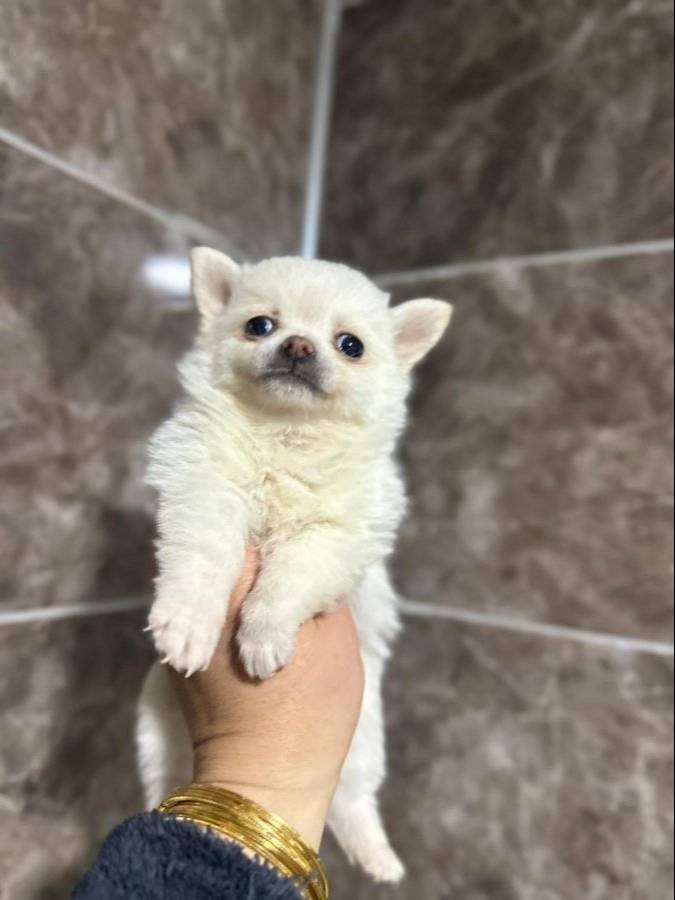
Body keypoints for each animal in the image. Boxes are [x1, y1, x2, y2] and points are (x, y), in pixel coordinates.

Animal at [136, 248, 452, 882]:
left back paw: (380, 860)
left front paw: (262, 634)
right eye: (260, 325)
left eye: (350, 344)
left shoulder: (340, 535)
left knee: (356, 805)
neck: (286, 434)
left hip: (362, 749)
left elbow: (290, 577)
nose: (299, 346)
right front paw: (188, 626)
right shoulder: (202, 486)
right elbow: (206, 556)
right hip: (155, 734)